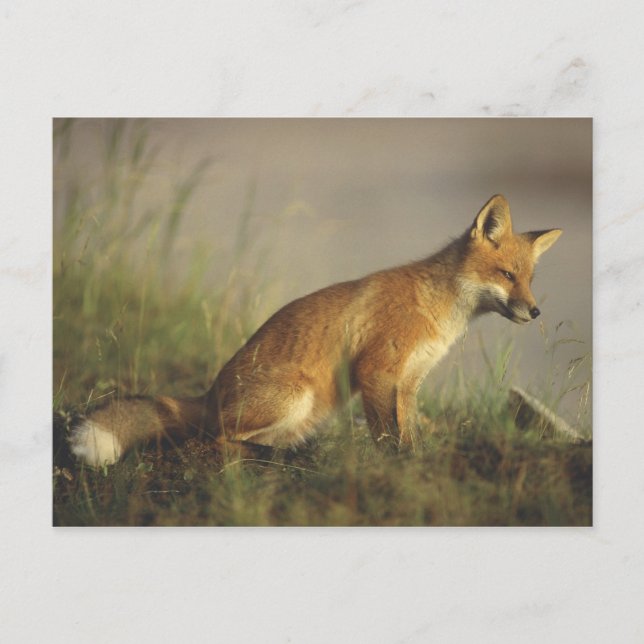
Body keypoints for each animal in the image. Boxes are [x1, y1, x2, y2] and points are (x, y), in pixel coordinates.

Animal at [69, 194, 562, 467]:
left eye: (530, 279)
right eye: (506, 275)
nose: (536, 311)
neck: (437, 310)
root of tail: (208, 395)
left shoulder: (408, 383)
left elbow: (409, 433)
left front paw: (416, 461)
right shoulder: (376, 372)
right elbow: (387, 437)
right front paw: (395, 468)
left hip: (308, 412)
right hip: (294, 395)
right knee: (218, 440)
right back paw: (262, 457)